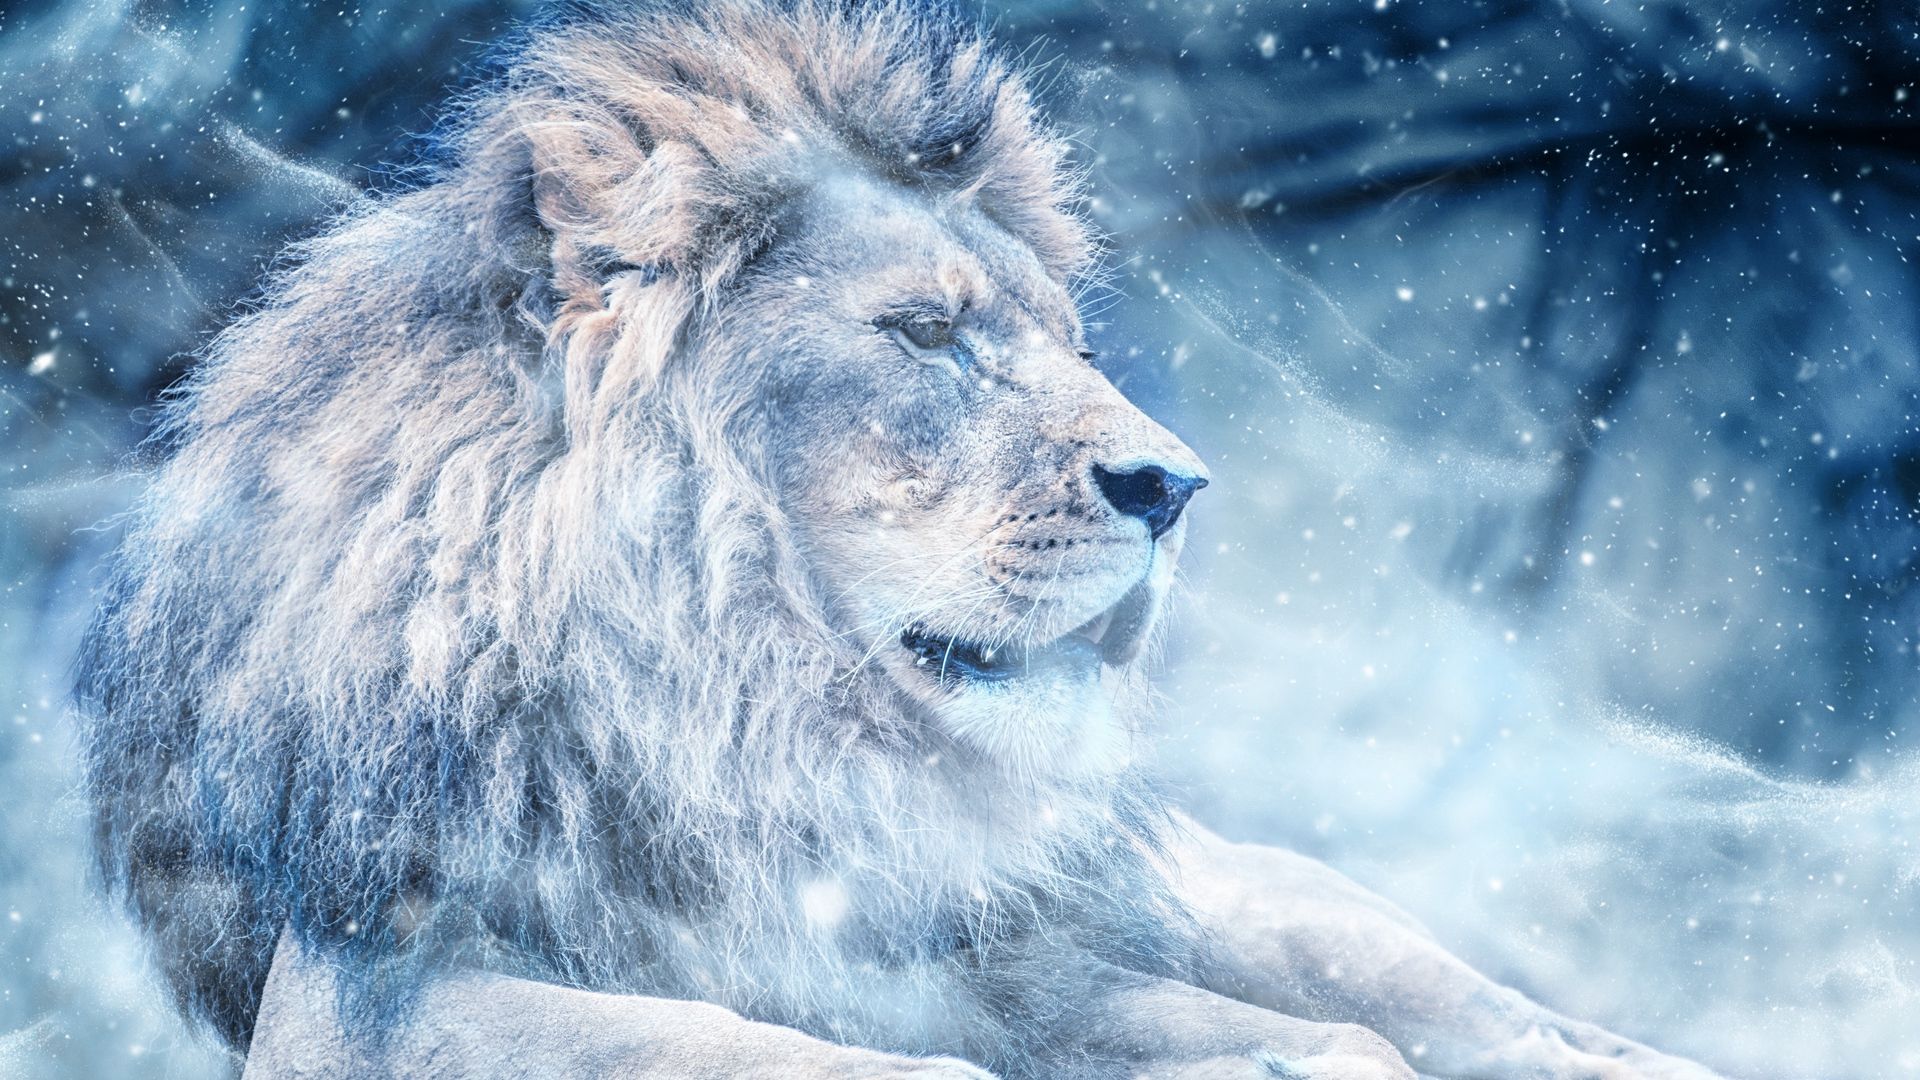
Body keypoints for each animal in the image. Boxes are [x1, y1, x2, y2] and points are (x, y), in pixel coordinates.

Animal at [74, 2, 1726, 1078]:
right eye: (927, 336)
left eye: (1070, 346)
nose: (1179, 486)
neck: (737, 721)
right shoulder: (369, 984)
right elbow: (754, 1051)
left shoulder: (1003, 957)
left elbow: (1257, 1029)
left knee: (1513, 1024)